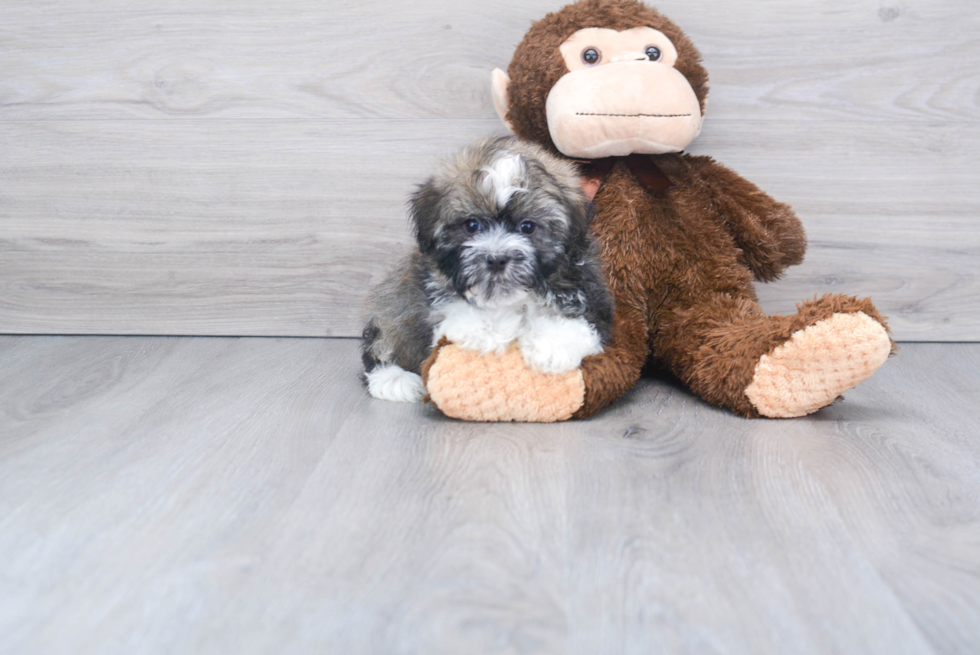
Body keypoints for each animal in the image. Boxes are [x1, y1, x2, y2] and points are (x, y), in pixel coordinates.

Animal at [364, 136, 612, 402]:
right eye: (472, 225)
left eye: (527, 227)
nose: (497, 259)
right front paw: (492, 328)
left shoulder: (591, 296)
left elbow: (578, 323)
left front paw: (551, 347)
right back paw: (392, 378)